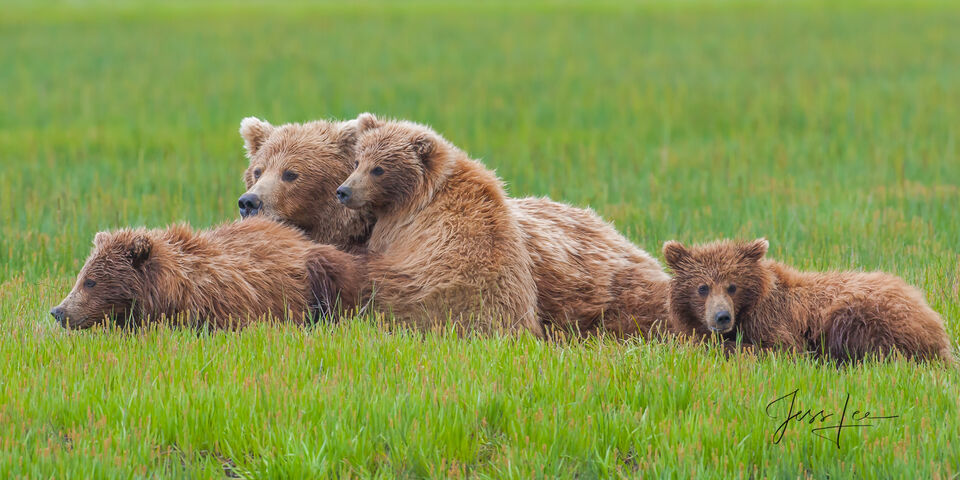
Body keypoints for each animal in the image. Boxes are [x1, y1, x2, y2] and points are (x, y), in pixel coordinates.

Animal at [664, 238, 956, 362]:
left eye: (732, 286)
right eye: (702, 287)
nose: (721, 317)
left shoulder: (773, 320)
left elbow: (783, 349)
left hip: (866, 312)